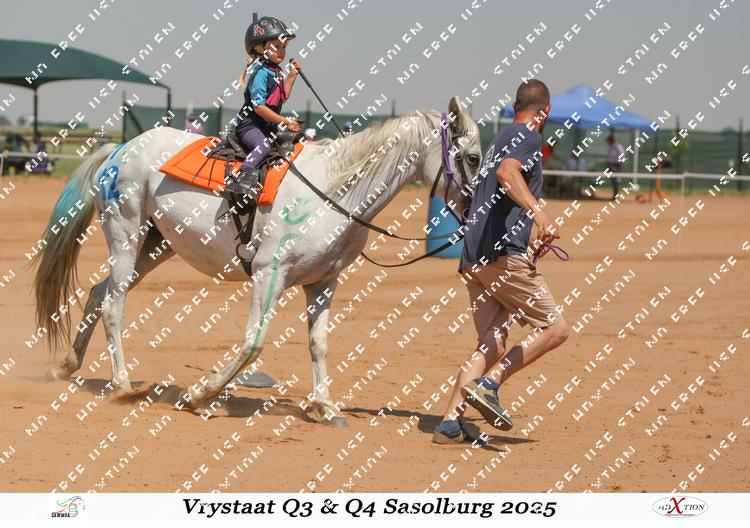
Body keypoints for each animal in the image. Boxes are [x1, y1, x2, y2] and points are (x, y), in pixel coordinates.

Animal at [33, 96, 481, 427]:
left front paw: (327, 407)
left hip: (154, 247)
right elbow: (254, 343)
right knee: (113, 305)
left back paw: (67, 366)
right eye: (474, 158)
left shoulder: (324, 282)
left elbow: (319, 344)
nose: (480, 208)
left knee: (98, 294)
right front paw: (199, 395)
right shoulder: (270, 274)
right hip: (126, 234)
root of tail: (122, 148)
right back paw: (124, 385)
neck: (333, 191)